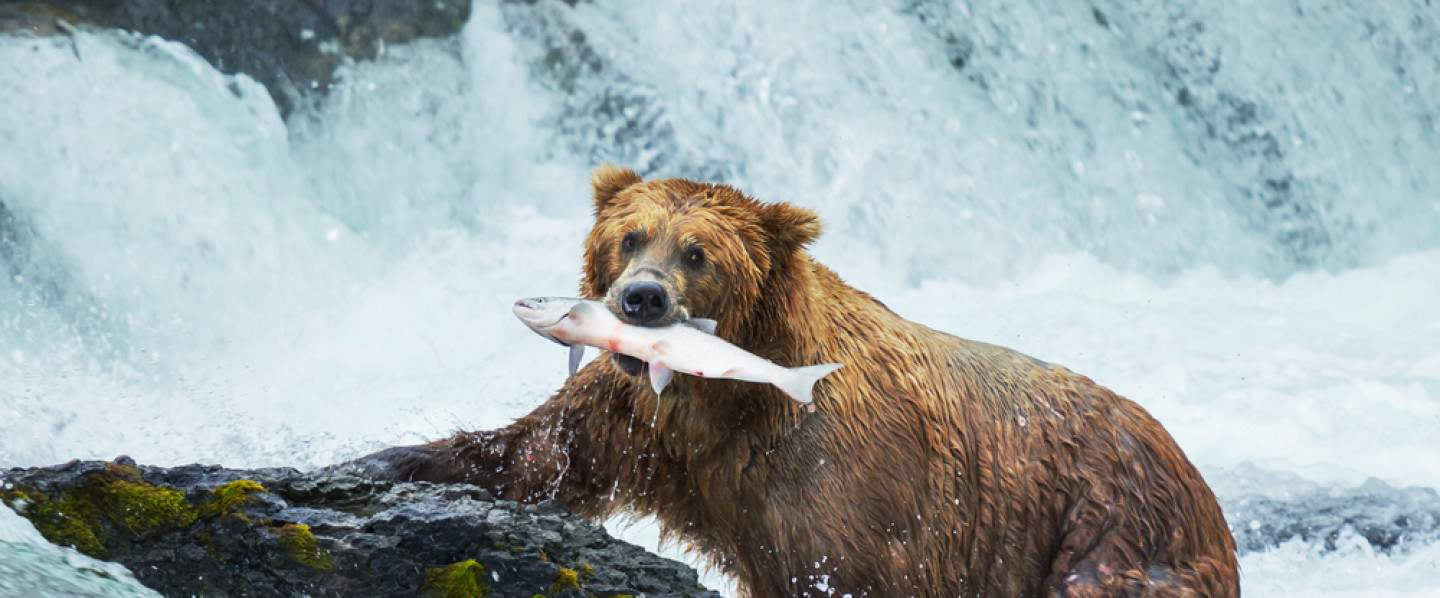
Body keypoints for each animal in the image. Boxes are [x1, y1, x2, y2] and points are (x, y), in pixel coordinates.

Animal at [342, 166, 1244, 598]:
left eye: (698, 252)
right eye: (630, 235)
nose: (640, 299)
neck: (729, 396)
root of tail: (1188, 464)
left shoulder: (848, 478)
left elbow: (851, 570)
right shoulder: (637, 420)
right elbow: (532, 454)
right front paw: (369, 464)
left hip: (1112, 526)